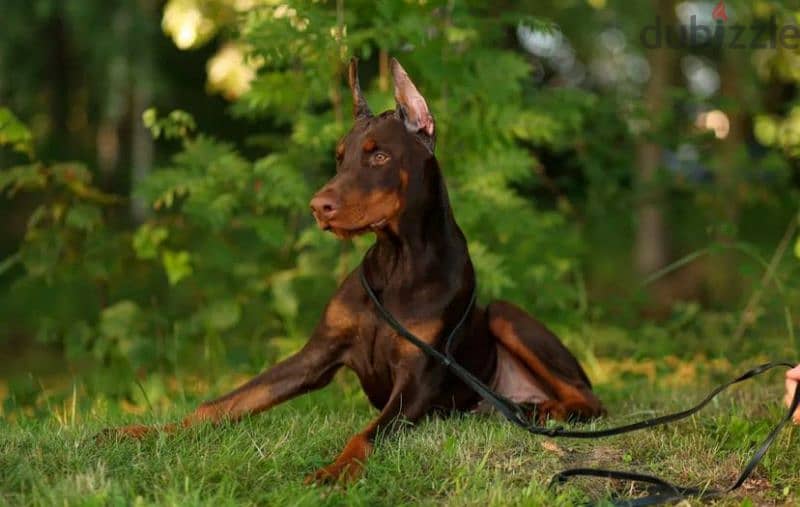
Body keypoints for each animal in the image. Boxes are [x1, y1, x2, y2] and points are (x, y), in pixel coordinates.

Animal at [109, 58, 604, 484]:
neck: (397, 262)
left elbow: (366, 433)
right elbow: (228, 402)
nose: (318, 207)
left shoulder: (418, 379)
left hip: (504, 314)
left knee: (589, 400)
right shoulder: (316, 354)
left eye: (379, 156)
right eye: (339, 157)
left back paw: (545, 411)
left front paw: (335, 470)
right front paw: (143, 433)